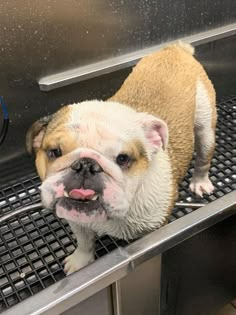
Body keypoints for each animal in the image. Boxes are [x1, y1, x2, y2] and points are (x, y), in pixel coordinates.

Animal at [26, 42, 217, 274]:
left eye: (123, 158)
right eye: (55, 152)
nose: (85, 165)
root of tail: (175, 49)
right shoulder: (76, 220)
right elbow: (84, 241)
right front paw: (81, 261)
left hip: (205, 125)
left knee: (203, 156)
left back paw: (200, 182)